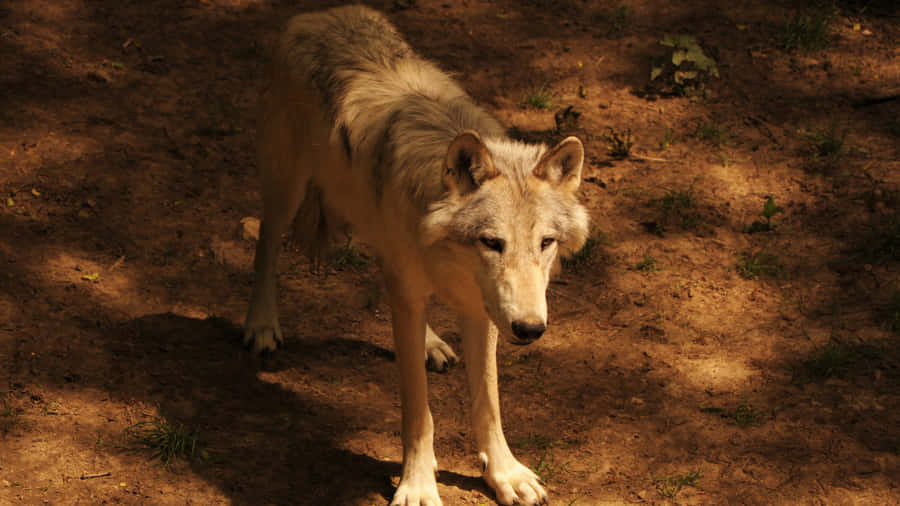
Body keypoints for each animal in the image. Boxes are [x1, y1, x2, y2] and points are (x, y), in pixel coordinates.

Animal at [244, 5, 589, 505]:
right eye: (492, 242)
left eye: (546, 243)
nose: (530, 329)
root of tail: (318, 14)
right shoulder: (431, 299)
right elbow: (419, 411)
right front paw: (418, 484)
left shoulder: (482, 309)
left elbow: (489, 404)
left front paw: (506, 475)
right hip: (286, 188)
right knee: (266, 245)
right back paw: (262, 325)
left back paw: (431, 344)